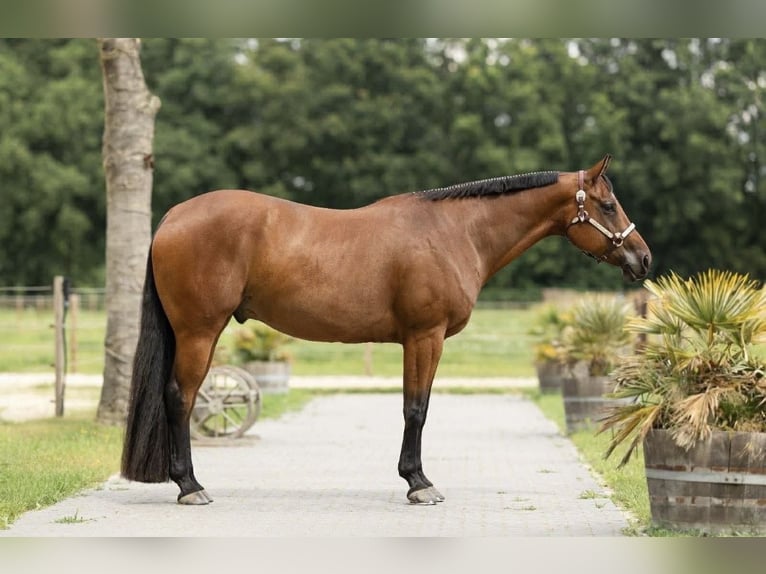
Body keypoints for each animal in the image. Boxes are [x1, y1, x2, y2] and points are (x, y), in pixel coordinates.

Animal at [121, 154, 651, 505]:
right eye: (607, 205)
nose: (643, 258)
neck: (455, 232)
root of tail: (173, 216)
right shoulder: (424, 336)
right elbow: (416, 409)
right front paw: (419, 483)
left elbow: (415, 406)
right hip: (199, 332)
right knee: (181, 398)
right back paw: (190, 486)